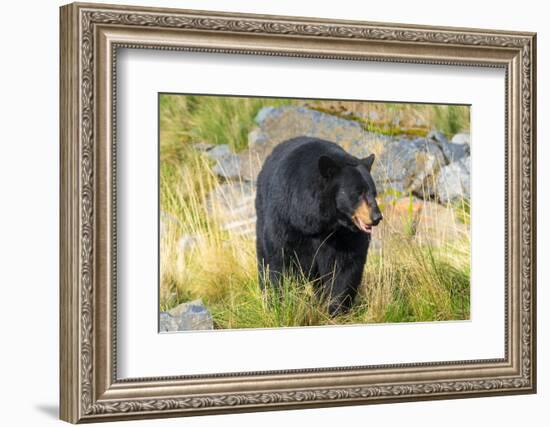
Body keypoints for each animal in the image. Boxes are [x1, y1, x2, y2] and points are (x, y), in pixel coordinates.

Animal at [256, 135, 382, 316]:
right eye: (358, 193)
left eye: (374, 192)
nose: (377, 217)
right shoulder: (286, 221)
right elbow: (281, 260)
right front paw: (283, 304)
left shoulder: (343, 235)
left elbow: (344, 266)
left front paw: (335, 309)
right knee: (263, 259)